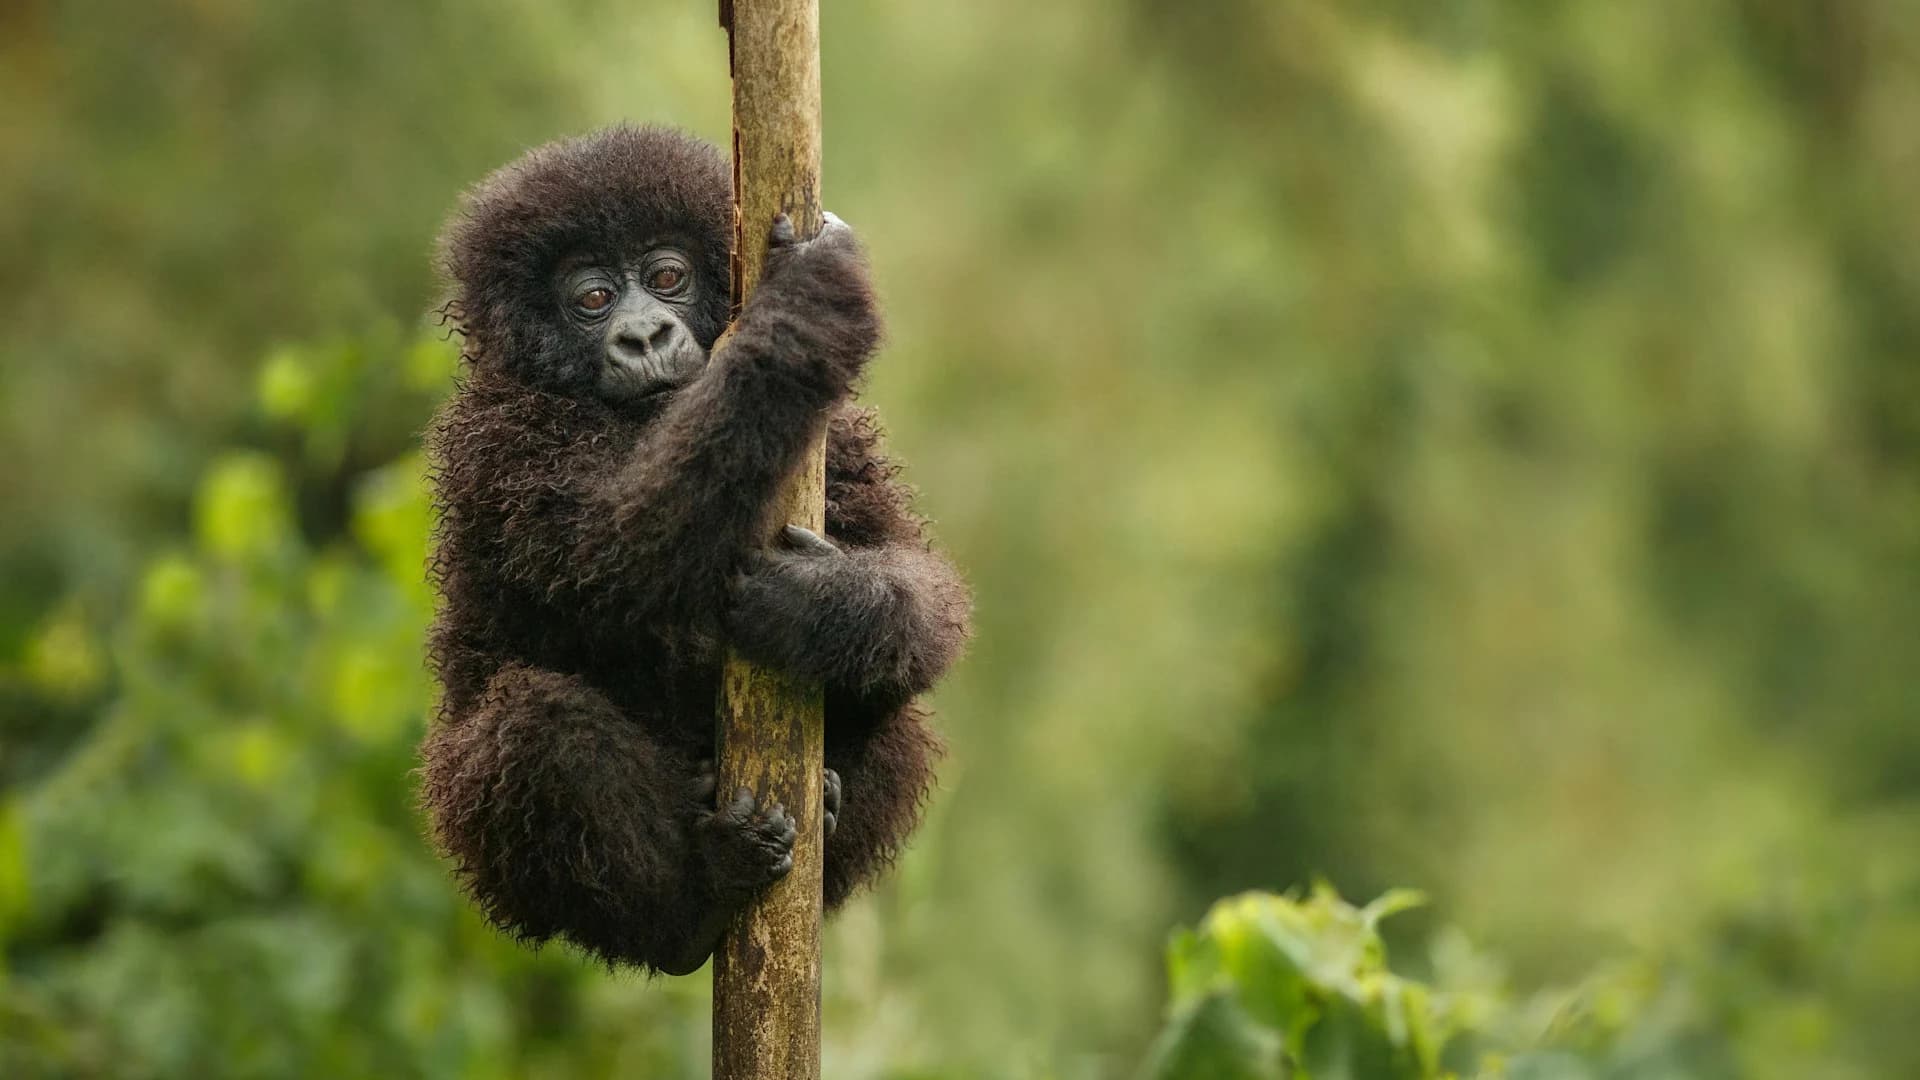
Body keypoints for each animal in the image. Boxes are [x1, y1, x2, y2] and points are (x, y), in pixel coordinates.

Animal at [418, 125, 970, 975]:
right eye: (592, 299)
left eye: (667, 277)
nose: (644, 334)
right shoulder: (499, 443)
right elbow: (620, 552)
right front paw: (804, 308)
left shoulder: (839, 435)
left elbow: (917, 583)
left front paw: (820, 608)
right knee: (535, 727)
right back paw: (691, 907)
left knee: (900, 710)